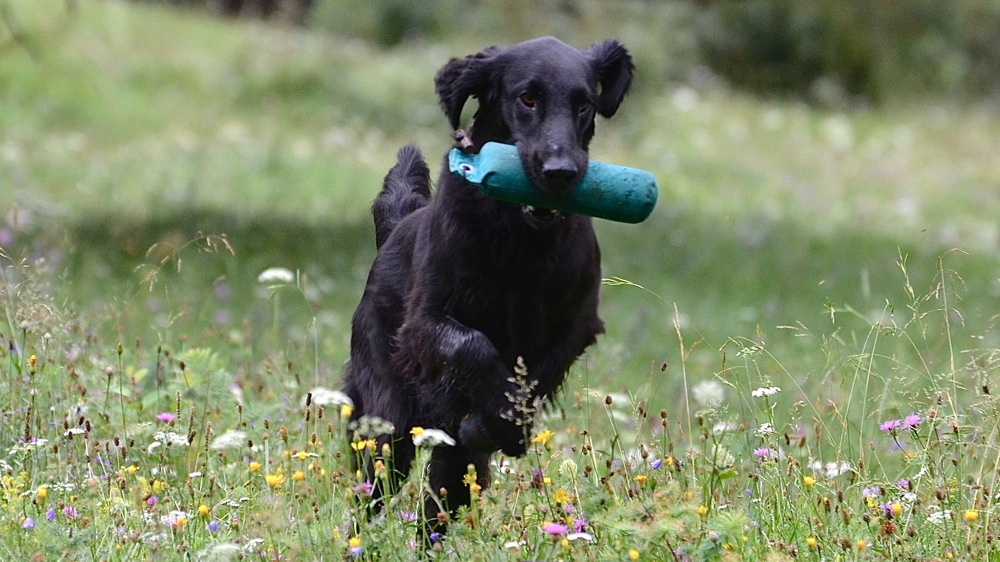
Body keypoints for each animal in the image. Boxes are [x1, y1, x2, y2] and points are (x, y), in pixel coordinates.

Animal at [344, 36, 632, 528]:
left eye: (584, 105)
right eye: (528, 98)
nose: (561, 172)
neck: (520, 239)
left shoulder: (577, 324)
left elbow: (536, 373)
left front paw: (505, 425)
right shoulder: (426, 322)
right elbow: (473, 346)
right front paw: (495, 415)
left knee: (441, 496)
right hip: (388, 416)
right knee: (377, 479)